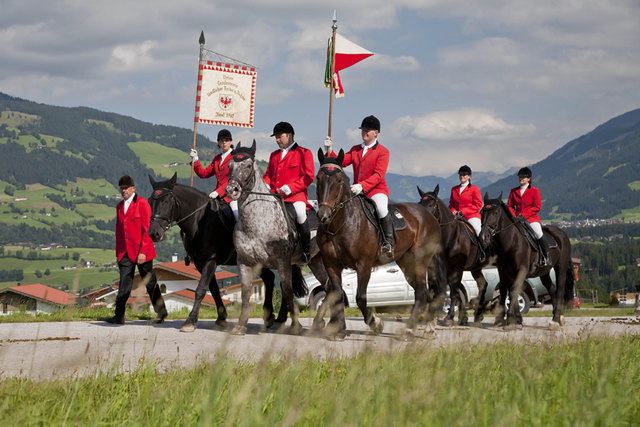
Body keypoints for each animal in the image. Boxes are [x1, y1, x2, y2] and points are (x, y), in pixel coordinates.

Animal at [148, 172, 288, 332]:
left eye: (167, 201)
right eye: (150, 201)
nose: (154, 233)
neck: (200, 220)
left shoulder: (211, 260)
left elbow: (201, 289)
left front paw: (190, 321)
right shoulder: (200, 263)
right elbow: (213, 290)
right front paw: (221, 317)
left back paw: (281, 318)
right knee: (270, 278)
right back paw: (269, 316)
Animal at [225, 140, 328, 334]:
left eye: (248, 165)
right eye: (230, 165)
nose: (231, 190)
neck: (257, 222)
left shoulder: (282, 262)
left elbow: (287, 291)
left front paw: (295, 326)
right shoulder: (245, 262)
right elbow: (245, 293)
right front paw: (240, 325)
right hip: (316, 261)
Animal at [314, 150, 442, 342]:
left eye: (338, 180)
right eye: (318, 178)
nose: (323, 216)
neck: (340, 224)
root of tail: (429, 215)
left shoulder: (364, 265)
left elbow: (360, 298)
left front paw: (376, 323)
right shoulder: (331, 265)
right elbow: (337, 295)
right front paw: (340, 331)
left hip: (419, 261)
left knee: (421, 293)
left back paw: (409, 330)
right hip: (407, 263)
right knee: (423, 292)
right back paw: (428, 327)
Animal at [418, 185, 492, 328]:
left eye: (432, 205)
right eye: (420, 204)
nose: (423, 222)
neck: (451, 236)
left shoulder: (457, 268)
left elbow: (453, 292)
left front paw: (449, 318)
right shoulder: (442, 268)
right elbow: (451, 291)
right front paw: (461, 317)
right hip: (475, 268)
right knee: (482, 285)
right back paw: (478, 315)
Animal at [480, 194, 576, 332]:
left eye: (496, 212)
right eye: (482, 212)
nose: (483, 237)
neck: (510, 242)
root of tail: (561, 233)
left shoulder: (521, 270)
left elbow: (513, 291)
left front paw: (510, 321)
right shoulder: (504, 271)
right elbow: (509, 292)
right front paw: (516, 321)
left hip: (560, 267)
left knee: (560, 290)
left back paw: (555, 320)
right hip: (544, 272)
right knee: (552, 289)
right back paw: (558, 318)